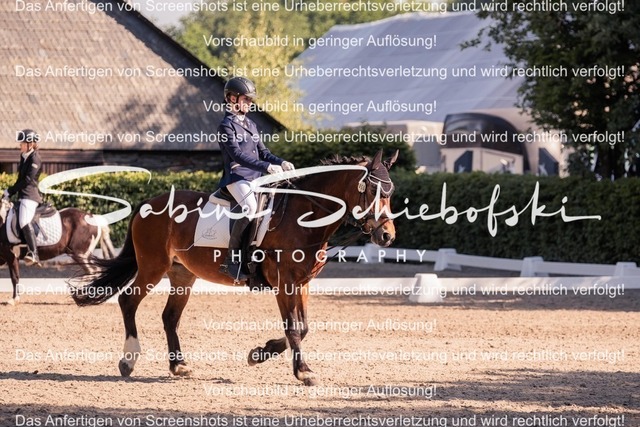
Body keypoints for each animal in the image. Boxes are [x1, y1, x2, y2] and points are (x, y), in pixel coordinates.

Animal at [71, 150, 398, 385]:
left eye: (390, 193)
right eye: (371, 191)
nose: (387, 236)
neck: (303, 217)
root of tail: (148, 202)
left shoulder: (302, 283)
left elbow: (303, 328)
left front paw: (259, 353)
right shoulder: (284, 282)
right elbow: (293, 328)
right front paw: (303, 371)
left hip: (182, 274)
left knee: (169, 317)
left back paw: (179, 366)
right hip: (153, 266)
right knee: (129, 301)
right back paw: (129, 360)